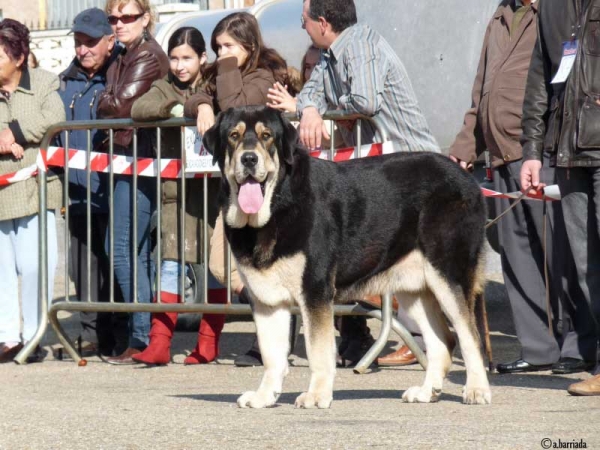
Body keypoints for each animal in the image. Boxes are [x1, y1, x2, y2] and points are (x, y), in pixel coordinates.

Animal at [203, 105, 492, 408]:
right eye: (234, 136)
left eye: (266, 136)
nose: (249, 158)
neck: (277, 204)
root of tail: (467, 178)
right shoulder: (266, 299)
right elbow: (272, 355)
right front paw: (264, 396)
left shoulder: (315, 291)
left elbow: (318, 351)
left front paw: (317, 394)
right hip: (415, 289)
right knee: (443, 341)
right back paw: (428, 391)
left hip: (448, 276)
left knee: (470, 336)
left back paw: (477, 390)